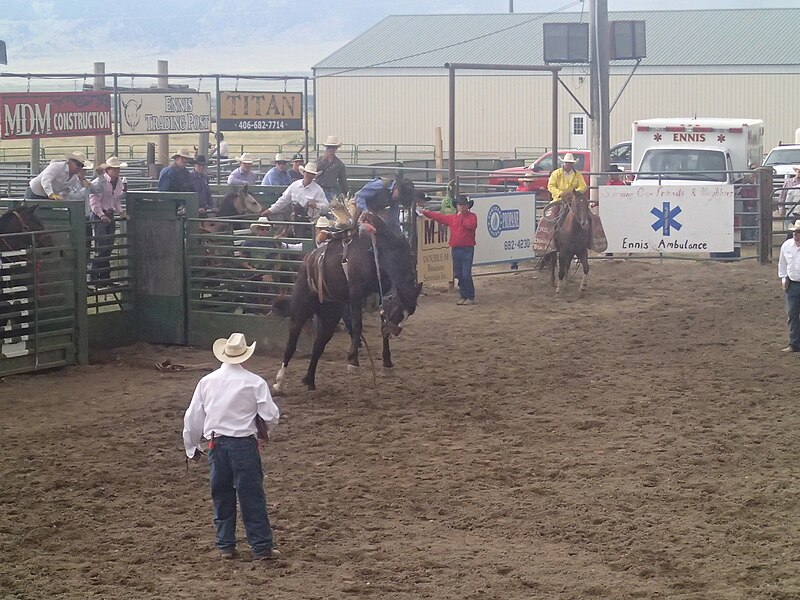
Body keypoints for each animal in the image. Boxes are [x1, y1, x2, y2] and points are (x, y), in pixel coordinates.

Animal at [276, 212, 422, 394]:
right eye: (397, 309)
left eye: (410, 313)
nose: (394, 333)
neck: (378, 248)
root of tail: (307, 263)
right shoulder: (355, 294)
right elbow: (358, 325)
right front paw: (353, 361)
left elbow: (381, 323)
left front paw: (387, 363)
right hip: (300, 310)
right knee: (291, 345)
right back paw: (278, 383)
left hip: (329, 317)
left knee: (318, 345)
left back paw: (309, 380)